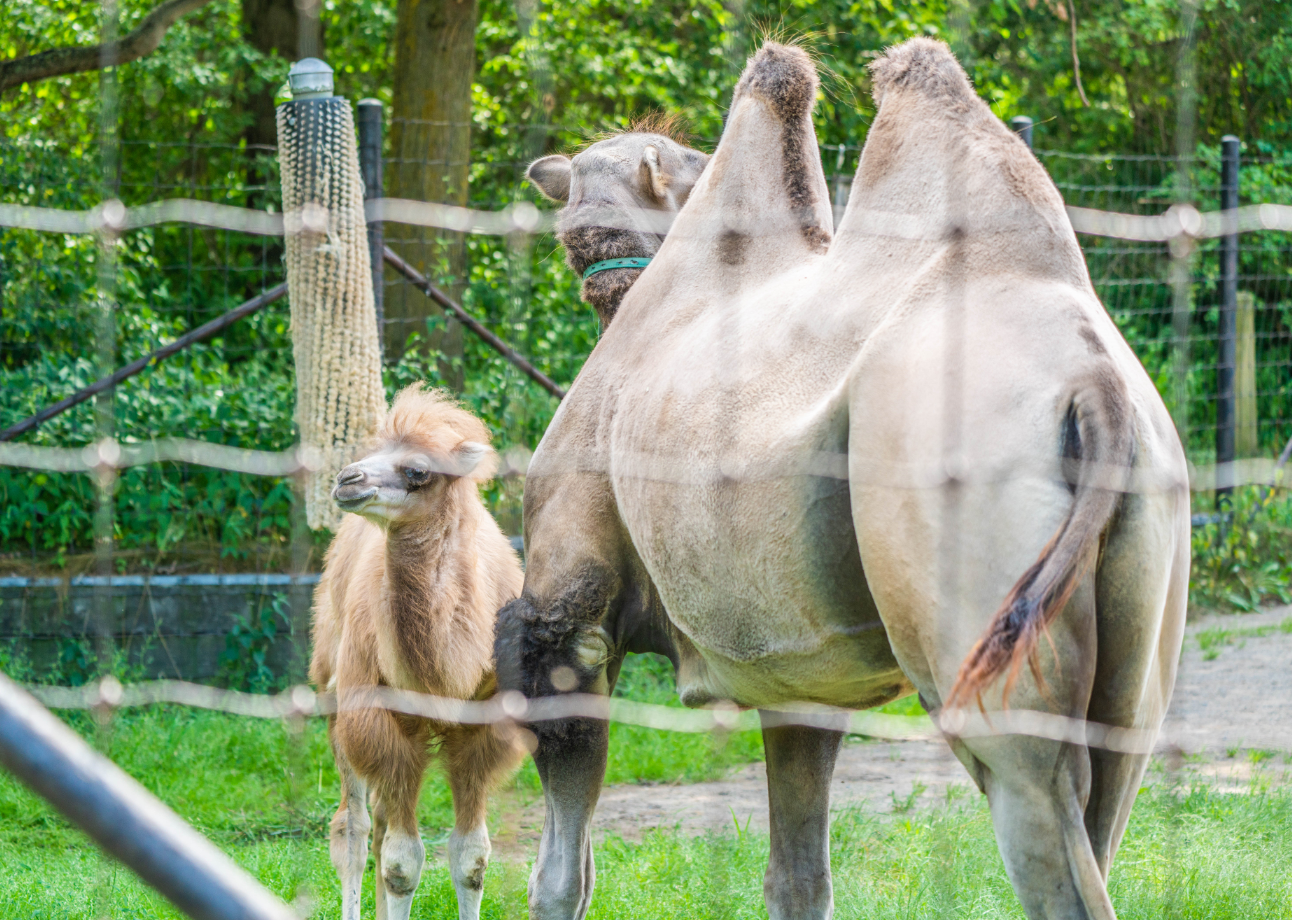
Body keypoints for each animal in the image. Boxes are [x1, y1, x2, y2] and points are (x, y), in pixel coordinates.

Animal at [310, 385, 526, 920]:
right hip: (333, 692)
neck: (443, 674)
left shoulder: (485, 726)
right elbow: (403, 861)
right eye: (372, 452)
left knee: (380, 824)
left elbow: (471, 857)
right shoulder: (375, 717)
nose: (347, 479)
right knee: (356, 828)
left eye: (417, 470)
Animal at [501, 39, 1190, 920]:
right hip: (1140, 612)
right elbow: (798, 878)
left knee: (1041, 809)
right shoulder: (800, 669)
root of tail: (1095, 386)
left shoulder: (570, 600)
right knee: (1109, 793)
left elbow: (561, 871)